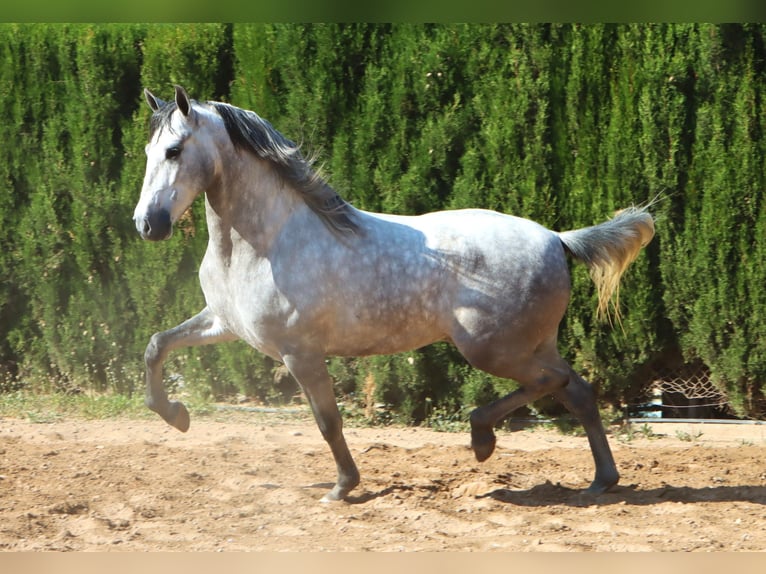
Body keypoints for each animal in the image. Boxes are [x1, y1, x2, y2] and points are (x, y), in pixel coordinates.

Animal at [133, 85, 655, 502]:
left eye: (175, 150)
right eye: (147, 151)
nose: (147, 224)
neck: (266, 242)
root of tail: (556, 237)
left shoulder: (300, 352)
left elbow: (327, 420)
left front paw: (343, 488)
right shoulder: (225, 323)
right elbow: (157, 345)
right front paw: (176, 416)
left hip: (493, 348)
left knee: (555, 382)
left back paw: (483, 439)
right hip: (530, 344)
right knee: (577, 390)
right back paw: (600, 481)